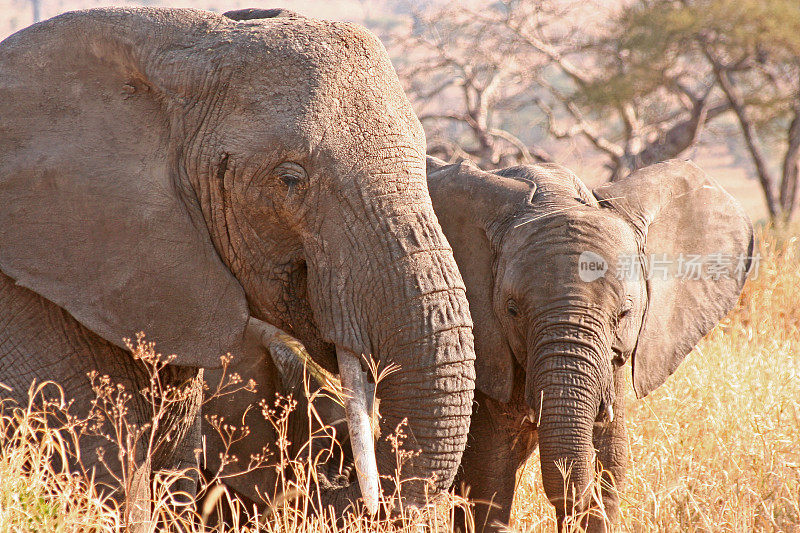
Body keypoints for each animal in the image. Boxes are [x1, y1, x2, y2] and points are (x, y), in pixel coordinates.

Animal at [424, 156, 756, 528]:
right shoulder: (488, 347)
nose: (571, 509)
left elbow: (612, 463)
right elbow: (487, 477)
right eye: (512, 310)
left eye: (624, 313)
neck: (555, 194)